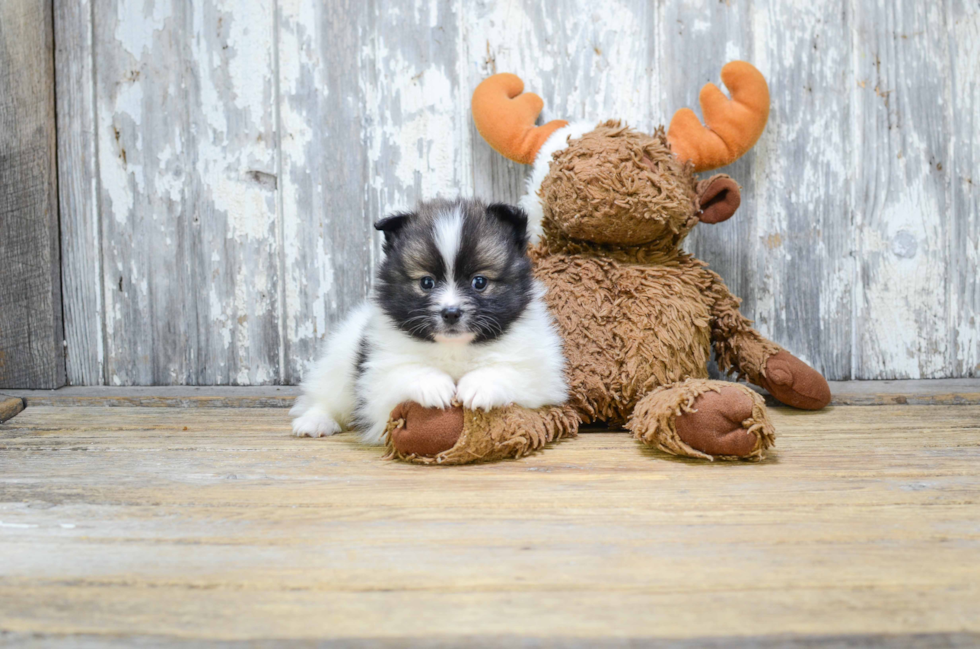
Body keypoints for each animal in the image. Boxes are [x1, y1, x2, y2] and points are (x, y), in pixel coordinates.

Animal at [290, 196, 568, 440]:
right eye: (426, 282)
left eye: (479, 282)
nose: (451, 313)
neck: (455, 347)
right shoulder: (377, 379)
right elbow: (402, 373)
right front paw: (433, 385)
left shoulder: (544, 377)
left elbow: (514, 373)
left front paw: (479, 385)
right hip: (339, 364)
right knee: (325, 397)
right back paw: (315, 421)